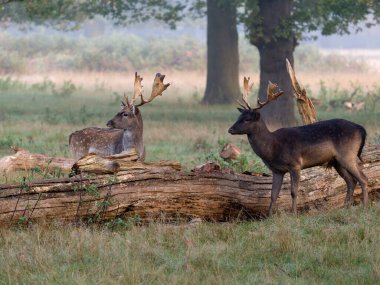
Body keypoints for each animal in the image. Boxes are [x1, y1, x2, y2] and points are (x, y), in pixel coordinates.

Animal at [229, 75, 368, 215]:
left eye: (247, 119)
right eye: (239, 117)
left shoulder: (295, 163)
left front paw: (294, 214)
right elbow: (273, 195)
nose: (230, 129)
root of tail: (361, 128)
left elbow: (294, 192)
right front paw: (269, 216)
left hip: (347, 155)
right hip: (336, 161)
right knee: (351, 181)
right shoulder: (277, 170)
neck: (273, 148)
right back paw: (345, 208)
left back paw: (363, 207)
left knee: (363, 178)